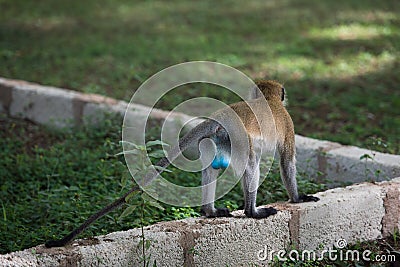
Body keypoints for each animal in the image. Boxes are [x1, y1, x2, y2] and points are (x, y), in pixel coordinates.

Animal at [44, 80, 318, 249]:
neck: (270, 102)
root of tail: (222, 116)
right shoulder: (288, 125)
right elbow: (286, 161)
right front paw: (297, 198)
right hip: (240, 140)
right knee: (252, 164)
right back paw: (252, 212)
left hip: (217, 141)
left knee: (211, 168)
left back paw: (210, 211)